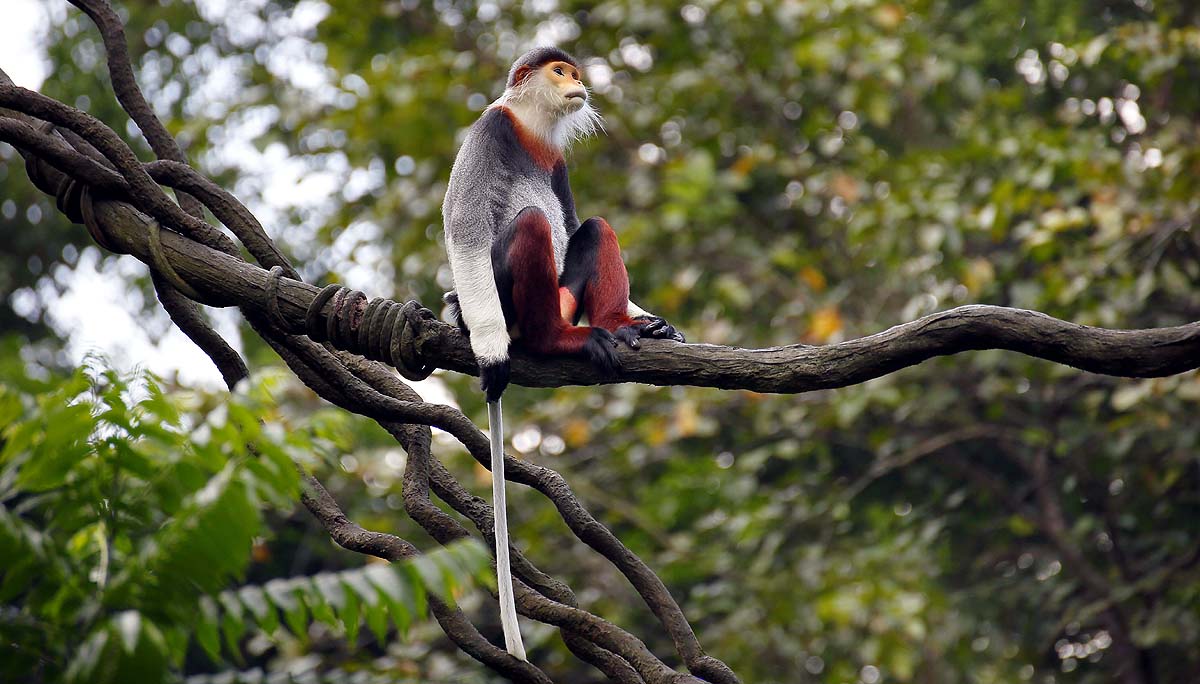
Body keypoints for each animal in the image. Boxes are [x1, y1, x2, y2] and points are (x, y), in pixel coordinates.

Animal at [440, 46, 684, 659]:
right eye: (560, 72)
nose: (578, 83)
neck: (531, 129)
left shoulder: (556, 163)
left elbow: (575, 224)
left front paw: (651, 323)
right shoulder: (490, 128)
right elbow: (465, 230)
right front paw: (491, 356)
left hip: (566, 295)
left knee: (593, 228)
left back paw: (622, 325)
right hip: (511, 302)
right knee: (527, 225)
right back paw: (543, 340)